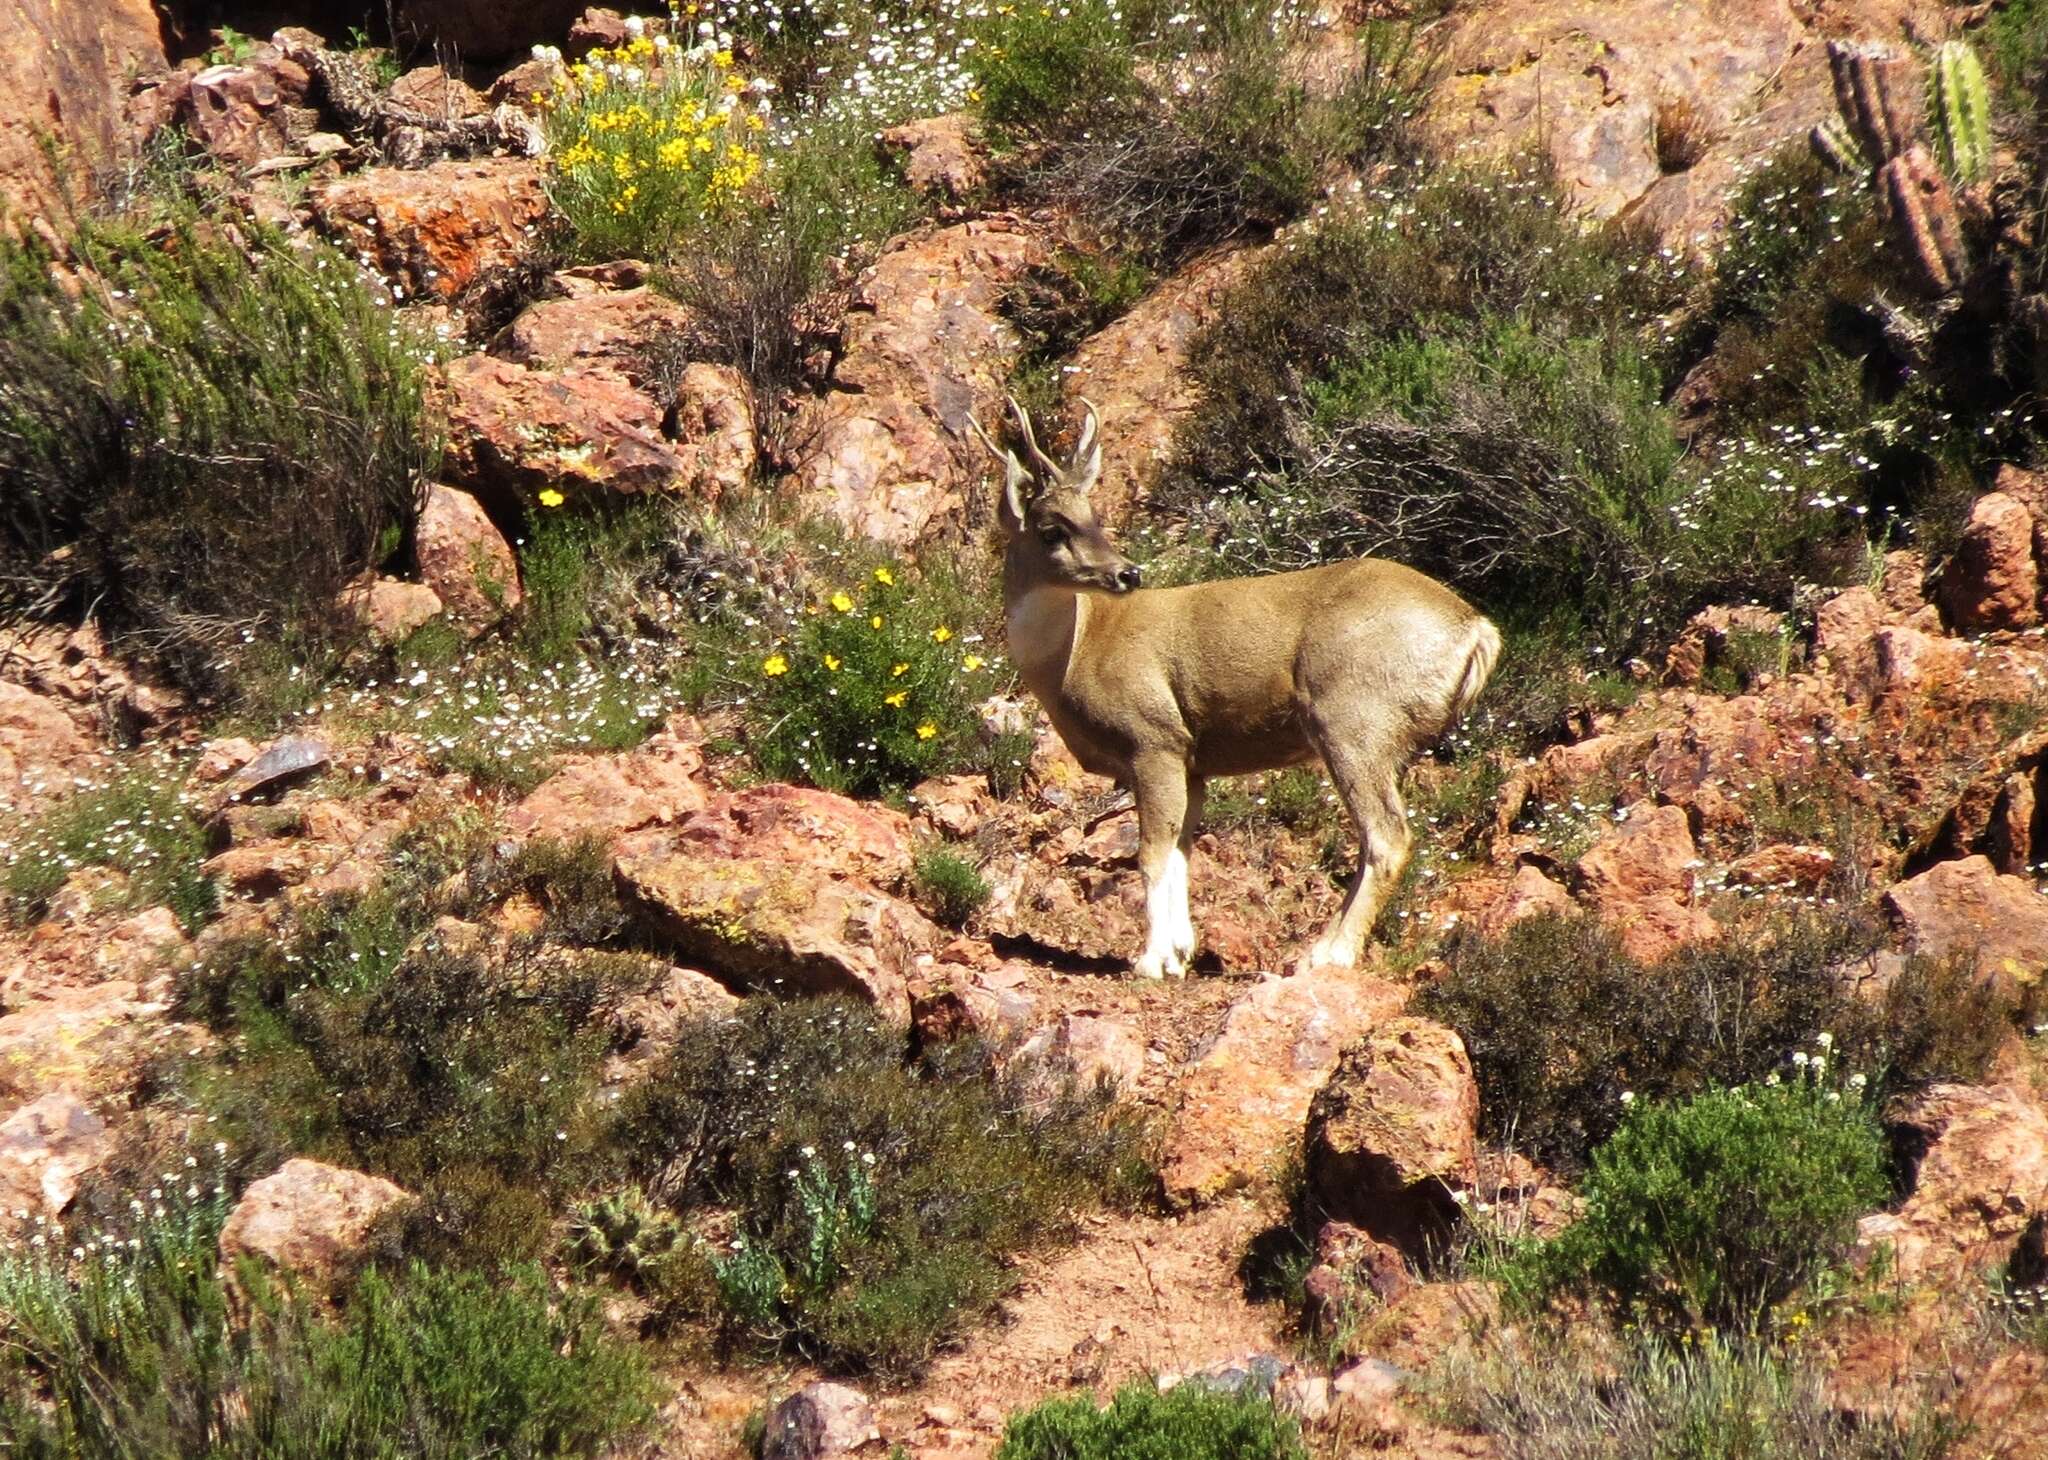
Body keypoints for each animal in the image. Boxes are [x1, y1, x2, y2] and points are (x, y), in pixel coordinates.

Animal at [966, 395, 1499, 978]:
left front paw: (1152, 961)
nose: (1128, 573)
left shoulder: (1154, 739)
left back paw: (1329, 954)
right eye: (1054, 529)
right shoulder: (1193, 761)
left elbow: (1151, 852)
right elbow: (1181, 850)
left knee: (1386, 835)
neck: (1081, 649)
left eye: (1092, 519)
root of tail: (1477, 628)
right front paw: (1180, 953)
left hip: (1352, 718)